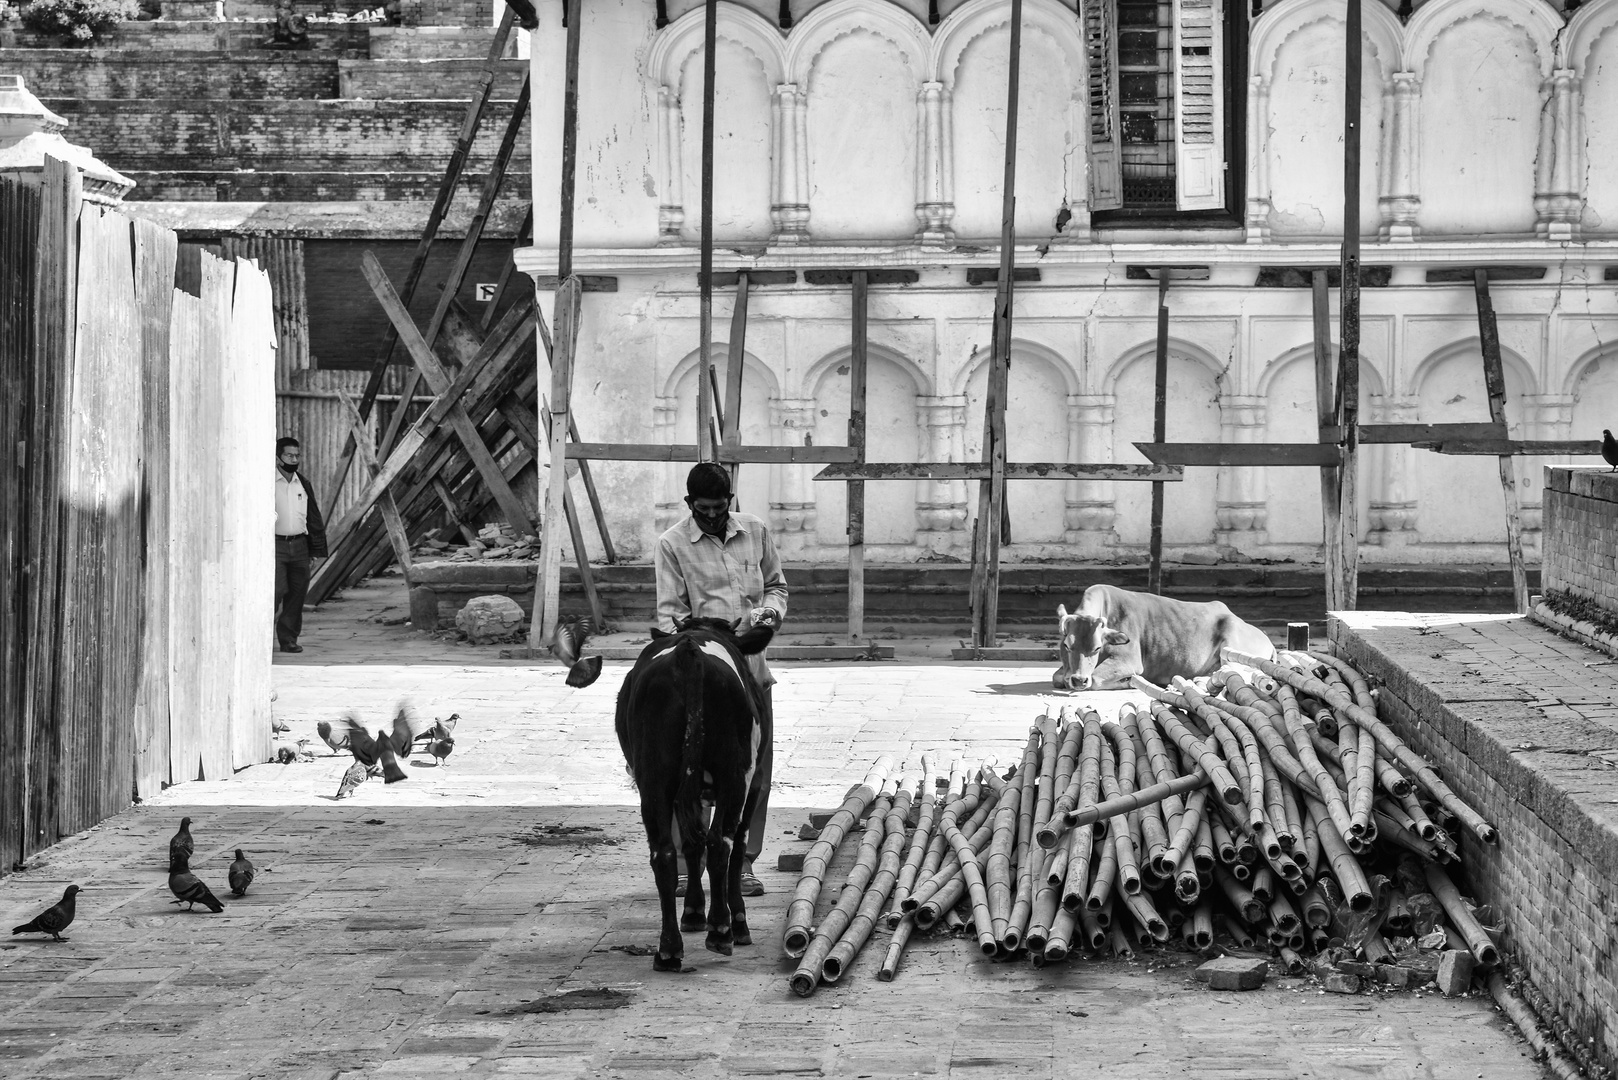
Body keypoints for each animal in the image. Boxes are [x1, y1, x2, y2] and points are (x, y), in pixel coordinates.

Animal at [611, 615, 776, 971]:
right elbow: (733, 847)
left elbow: (689, 843)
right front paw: (735, 922)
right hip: (735, 774)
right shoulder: (753, 782)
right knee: (721, 844)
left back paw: (669, 950)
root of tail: (689, 651)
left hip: (654, 778)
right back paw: (722, 932)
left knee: (664, 852)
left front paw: (693, 911)